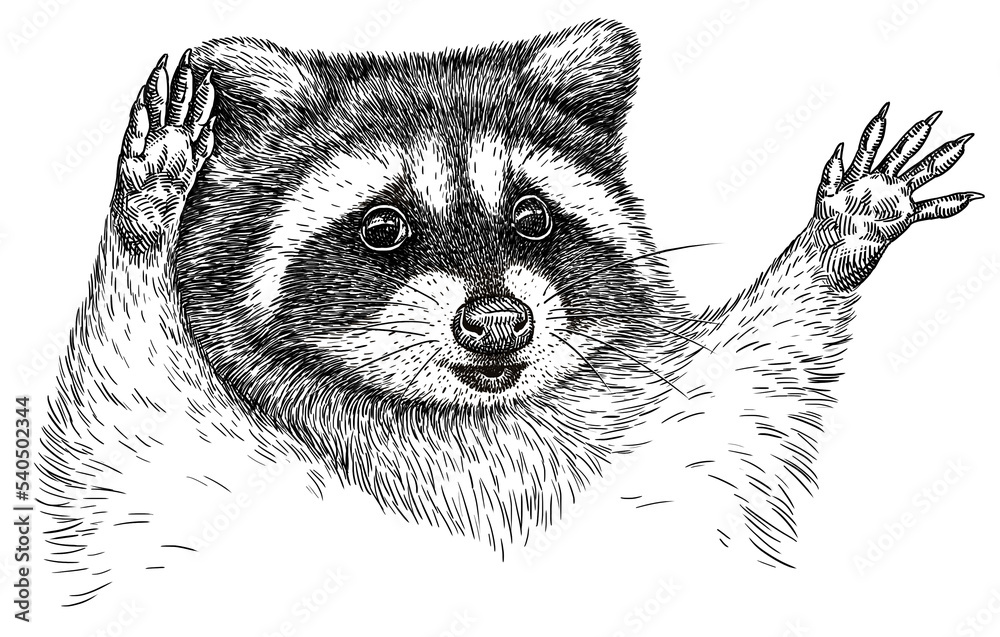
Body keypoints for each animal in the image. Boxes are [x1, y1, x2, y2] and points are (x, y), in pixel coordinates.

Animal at [38, 19, 980, 603]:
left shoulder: (673, 437)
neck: (463, 426)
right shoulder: (196, 458)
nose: (497, 322)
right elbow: (127, 424)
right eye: (383, 227)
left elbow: (749, 383)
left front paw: (837, 237)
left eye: (532, 218)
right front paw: (146, 218)